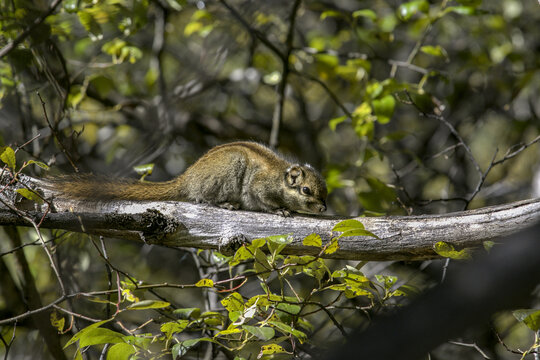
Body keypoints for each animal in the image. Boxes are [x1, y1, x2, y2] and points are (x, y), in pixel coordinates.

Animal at [47, 141, 324, 215]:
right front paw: (280, 210)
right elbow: (264, 201)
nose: (323, 208)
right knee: (204, 198)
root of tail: (186, 180)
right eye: (306, 190)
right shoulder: (259, 187)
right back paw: (226, 203)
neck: (279, 178)